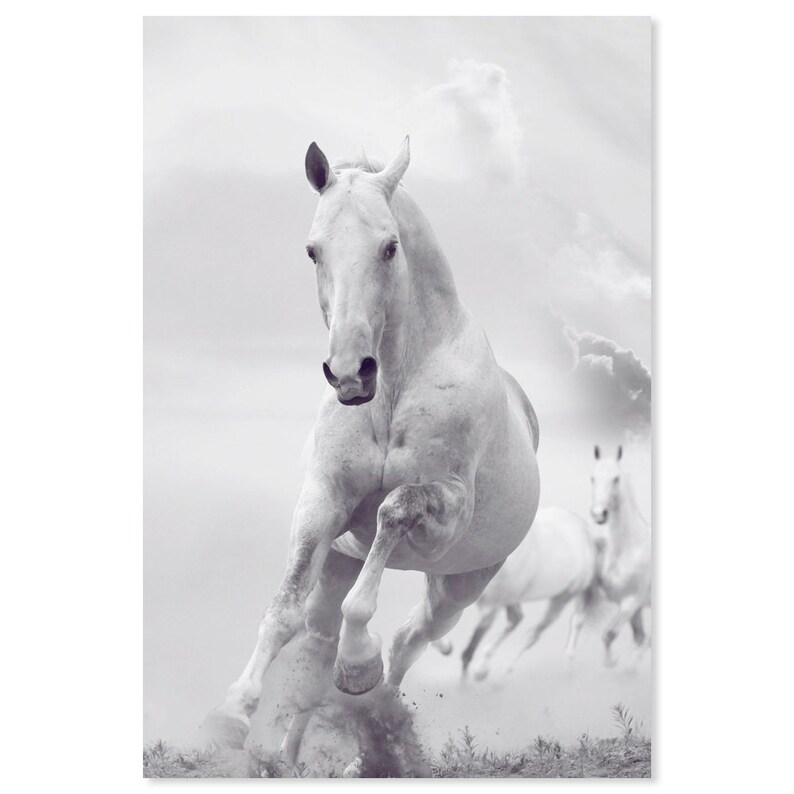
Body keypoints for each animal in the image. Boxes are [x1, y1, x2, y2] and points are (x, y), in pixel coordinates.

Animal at [204, 138, 541, 768]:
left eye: (390, 247)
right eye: (313, 250)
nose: (350, 374)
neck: (395, 389)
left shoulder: (444, 513)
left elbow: (392, 514)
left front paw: (359, 664)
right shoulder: (323, 503)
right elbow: (282, 611)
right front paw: (230, 715)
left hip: (459, 586)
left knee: (409, 642)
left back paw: (371, 739)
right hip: (339, 562)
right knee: (316, 643)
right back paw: (291, 756)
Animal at [432, 507, 599, 680]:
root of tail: (586, 532)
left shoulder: (489, 609)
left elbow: (467, 652)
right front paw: (446, 648)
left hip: (563, 597)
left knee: (536, 633)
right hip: (514, 598)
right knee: (518, 619)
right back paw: (484, 670)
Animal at [589, 445, 651, 668]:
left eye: (615, 478)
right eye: (592, 478)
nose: (599, 514)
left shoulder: (630, 603)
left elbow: (610, 635)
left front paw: (616, 665)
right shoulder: (635, 608)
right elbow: (638, 638)